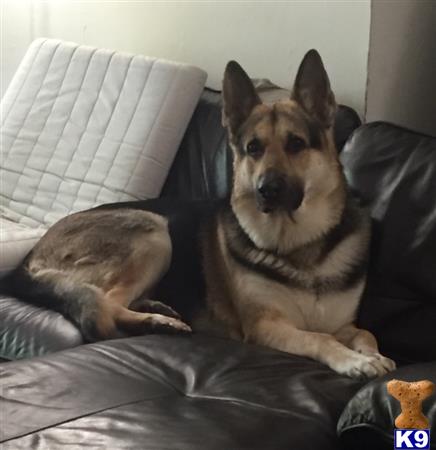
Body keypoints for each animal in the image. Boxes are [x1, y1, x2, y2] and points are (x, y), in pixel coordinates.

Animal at [0, 51, 396, 378]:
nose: (266, 190)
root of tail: (32, 256)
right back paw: (158, 322)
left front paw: (373, 356)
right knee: (105, 306)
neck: (301, 247)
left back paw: (158, 310)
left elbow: (365, 333)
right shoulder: (267, 326)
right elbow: (320, 339)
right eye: (253, 148)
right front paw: (353, 361)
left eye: (296, 144)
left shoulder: (343, 324)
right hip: (154, 232)